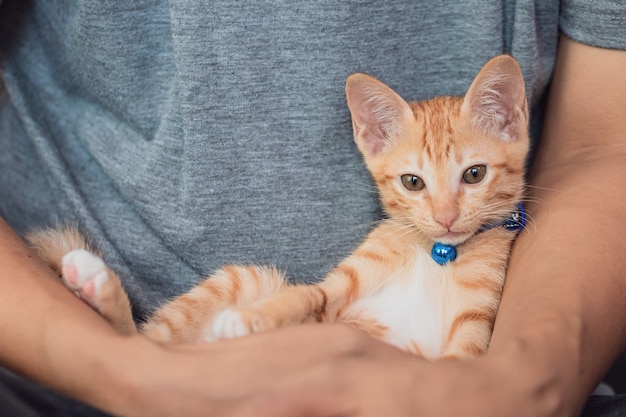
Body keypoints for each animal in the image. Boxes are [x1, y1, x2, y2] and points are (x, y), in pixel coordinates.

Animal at [28, 55, 528, 360]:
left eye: (474, 175)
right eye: (412, 182)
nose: (445, 218)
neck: (439, 253)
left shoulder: (472, 335)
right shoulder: (332, 296)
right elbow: (304, 295)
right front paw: (253, 319)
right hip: (244, 277)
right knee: (144, 345)